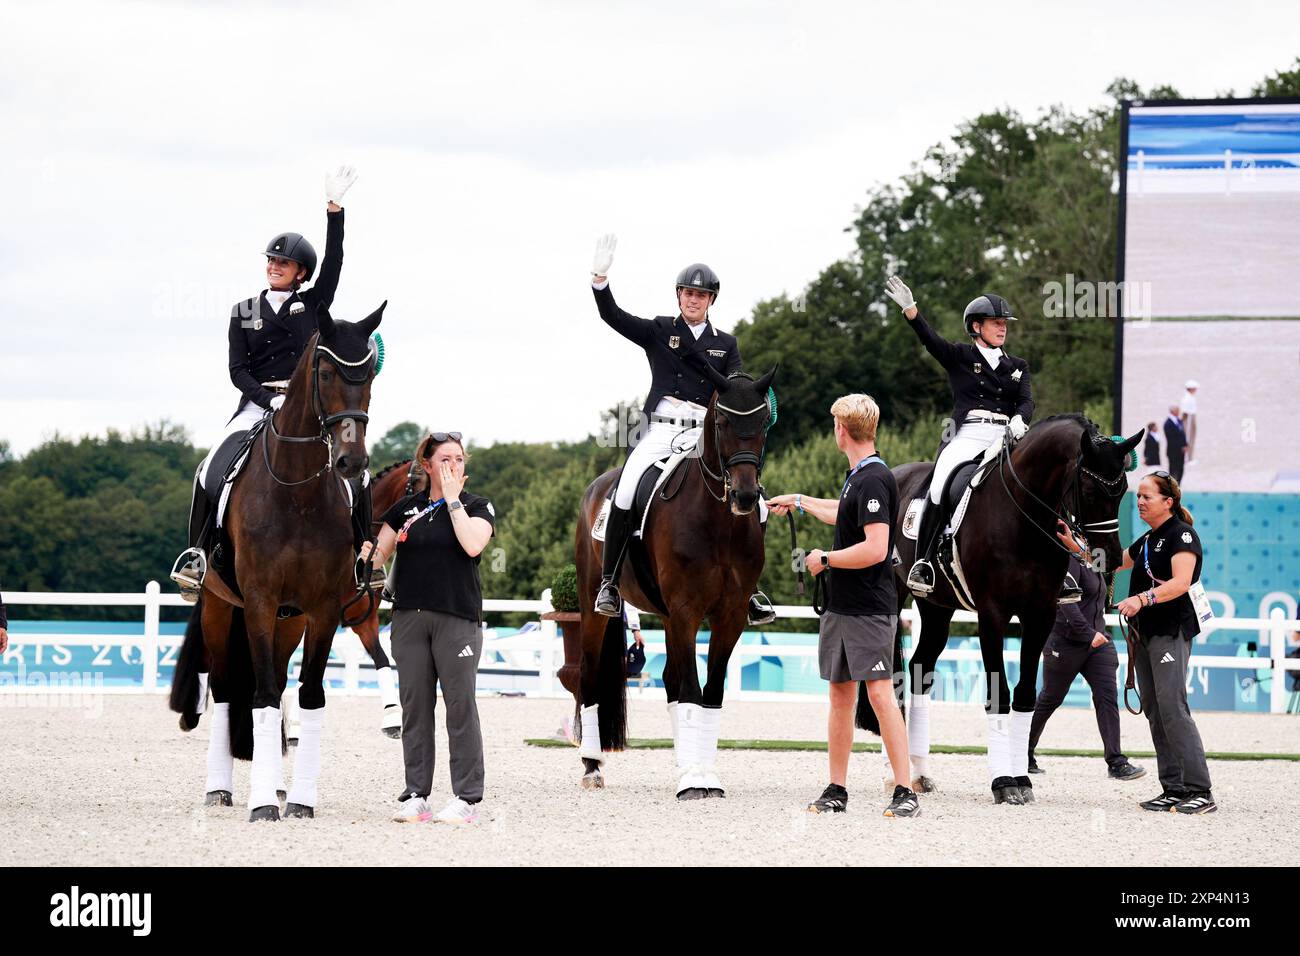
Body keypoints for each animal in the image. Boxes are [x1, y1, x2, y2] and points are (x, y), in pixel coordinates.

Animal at [170, 304, 379, 822]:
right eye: (324, 373)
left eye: (368, 374)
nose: (351, 463)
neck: (298, 491)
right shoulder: (260, 601)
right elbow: (261, 695)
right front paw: (263, 805)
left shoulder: (322, 609)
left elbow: (308, 695)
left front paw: (299, 801)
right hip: (220, 608)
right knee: (228, 689)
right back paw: (220, 790)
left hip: (290, 619)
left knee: (281, 683)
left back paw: (282, 789)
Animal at [574, 366, 774, 801]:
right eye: (722, 422)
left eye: (763, 424)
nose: (745, 496)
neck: (719, 522)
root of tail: (597, 486)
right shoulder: (686, 611)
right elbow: (693, 693)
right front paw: (695, 782)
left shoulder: (729, 616)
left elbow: (709, 695)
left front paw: (702, 774)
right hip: (593, 604)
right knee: (590, 675)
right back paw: (592, 766)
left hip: (666, 615)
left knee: (670, 681)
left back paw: (684, 763)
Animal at [863, 416, 1138, 806]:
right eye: (1089, 490)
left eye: (1123, 489)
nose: (1110, 558)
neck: (1022, 516)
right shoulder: (992, 614)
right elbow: (999, 694)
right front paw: (1003, 782)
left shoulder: (1040, 615)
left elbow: (1025, 695)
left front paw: (1021, 779)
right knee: (895, 677)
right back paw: (893, 773)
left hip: (936, 609)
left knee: (920, 670)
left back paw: (918, 773)